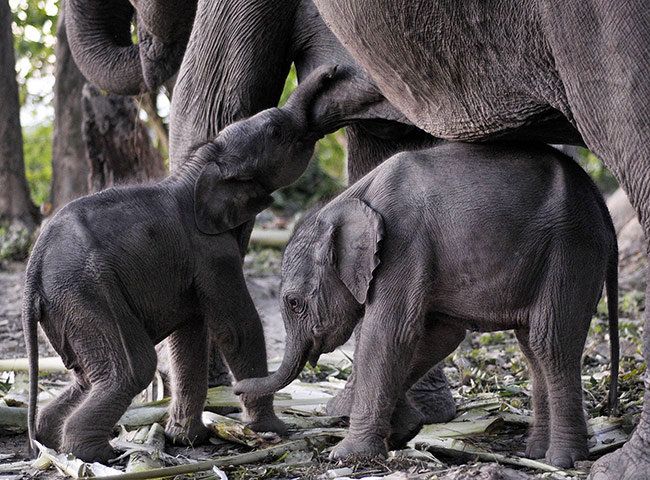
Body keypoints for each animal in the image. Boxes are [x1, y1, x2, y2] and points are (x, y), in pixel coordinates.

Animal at [20, 67, 345, 463]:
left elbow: (189, 337)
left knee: (87, 375)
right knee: (132, 368)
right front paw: (275, 431)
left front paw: (189, 439)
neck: (205, 161)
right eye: (276, 132)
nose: (332, 72)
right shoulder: (212, 252)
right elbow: (237, 329)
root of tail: (32, 274)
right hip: (85, 294)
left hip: (68, 310)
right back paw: (99, 454)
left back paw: (53, 443)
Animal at [234, 141, 620, 468]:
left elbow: (389, 333)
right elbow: (437, 336)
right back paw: (536, 453)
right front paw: (404, 431)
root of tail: (597, 198)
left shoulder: (403, 244)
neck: (350, 200)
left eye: (294, 302)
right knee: (531, 347)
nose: (236, 391)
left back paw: (563, 460)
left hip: (571, 247)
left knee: (550, 342)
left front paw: (344, 455)